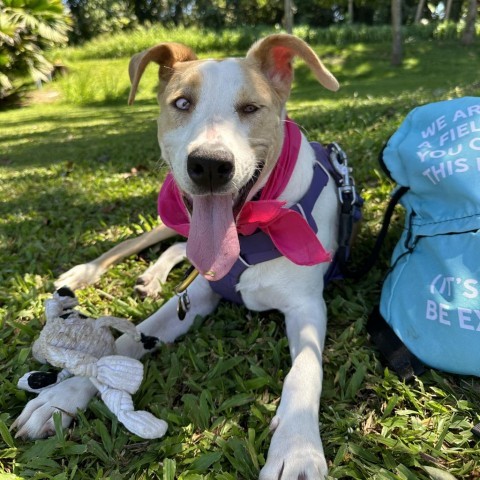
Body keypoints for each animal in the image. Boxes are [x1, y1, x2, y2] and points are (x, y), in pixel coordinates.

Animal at [14, 34, 342, 480]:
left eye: (250, 108)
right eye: (182, 103)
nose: (210, 165)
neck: (255, 227)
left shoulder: (307, 306)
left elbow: (305, 370)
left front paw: (298, 449)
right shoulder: (196, 297)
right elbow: (125, 342)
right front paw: (60, 397)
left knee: (178, 248)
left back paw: (151, 276)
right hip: (170, 215)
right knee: (143, 244)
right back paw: (86, 273)